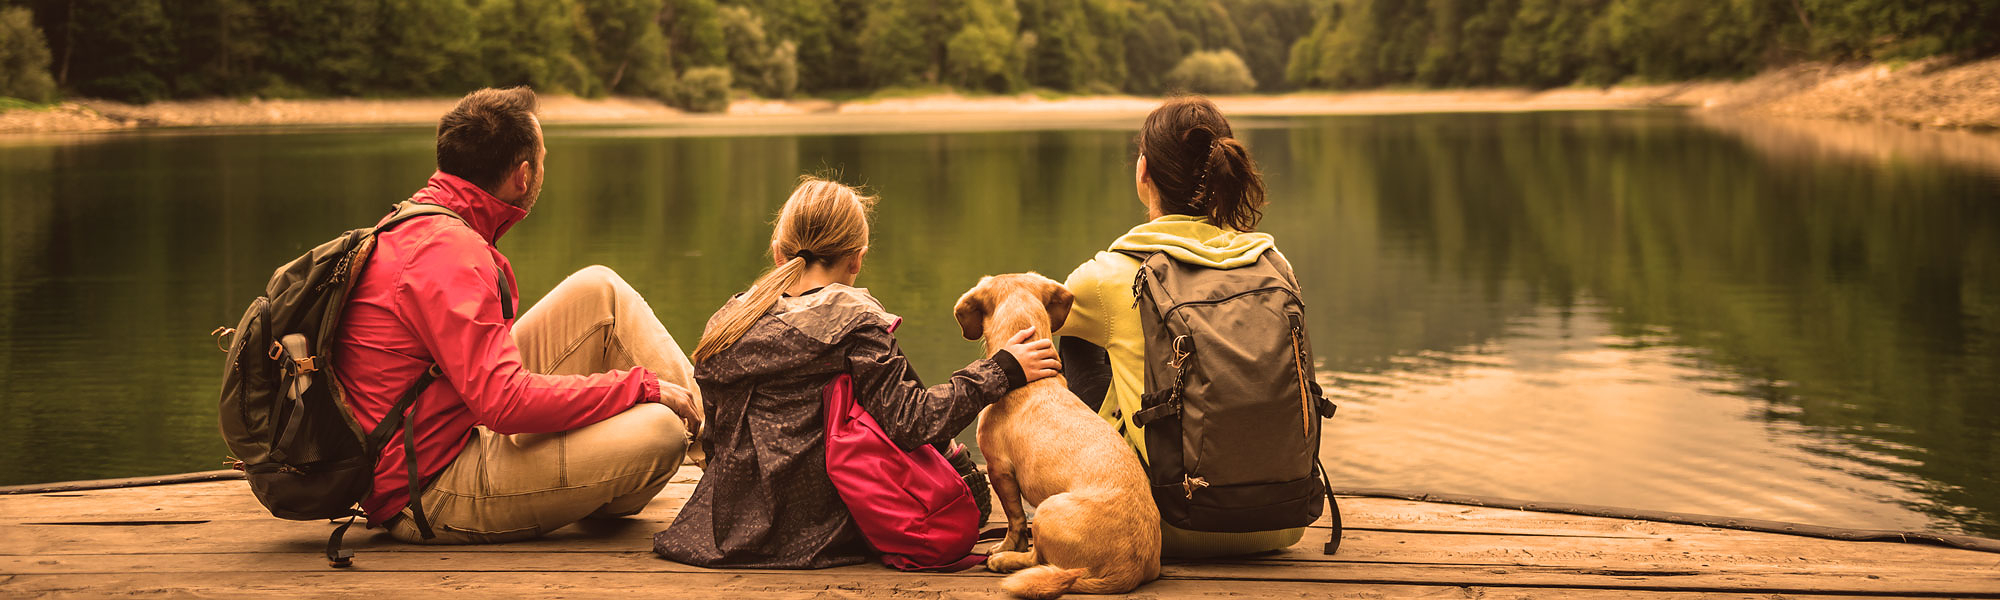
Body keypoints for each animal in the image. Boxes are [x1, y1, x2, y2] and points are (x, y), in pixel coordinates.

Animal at [952, 274, 1160, 596]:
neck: (1032, 381)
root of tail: (1128, 571)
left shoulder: (1000, 470)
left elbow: (1014, 519)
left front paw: (1003, 547)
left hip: (1046, 510)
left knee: (1037, 558)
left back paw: (1004, 561)